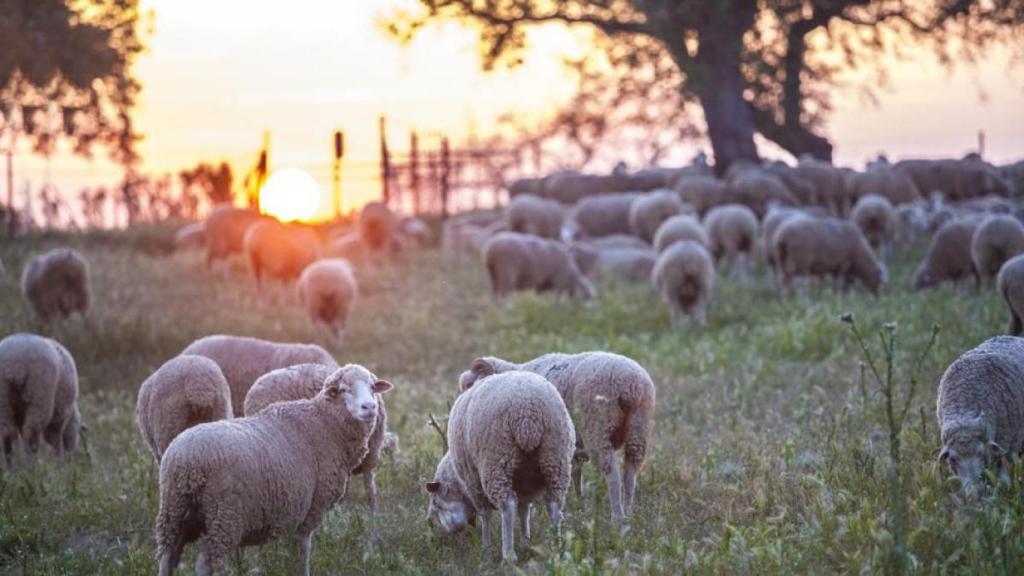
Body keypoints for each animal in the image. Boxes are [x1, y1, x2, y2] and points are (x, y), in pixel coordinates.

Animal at [0, 333, 80, 468]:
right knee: (31, 434)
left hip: (3, 399)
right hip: (39, 396)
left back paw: (11, 467)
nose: (71, 454)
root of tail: (14, 365)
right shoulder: (60, 416)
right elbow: (54, 437)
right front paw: (60, 462)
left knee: (8, 433)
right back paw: (32, 465)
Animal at [426, 370, 574, 562]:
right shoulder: (526, 483)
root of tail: (528, 414)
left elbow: (485, 514)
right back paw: (558, 549)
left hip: (496, 461)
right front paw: (526, 542)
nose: (452, 532)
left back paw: (508, 555)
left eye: (436, 504)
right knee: (554, 506)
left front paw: (485, 547)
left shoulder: (473, 482)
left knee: (508, 506)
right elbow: (524, 510)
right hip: (556, 457)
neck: (457, 476)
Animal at [457, 352, 655, 525]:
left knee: (612, 473)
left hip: (598, 426)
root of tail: (630, 384)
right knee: (631, 471)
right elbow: (575, 473)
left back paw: (617, 516)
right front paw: (579, 504)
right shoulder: (568, 447)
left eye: (469, 384)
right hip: (639, 428)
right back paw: (628, 511)